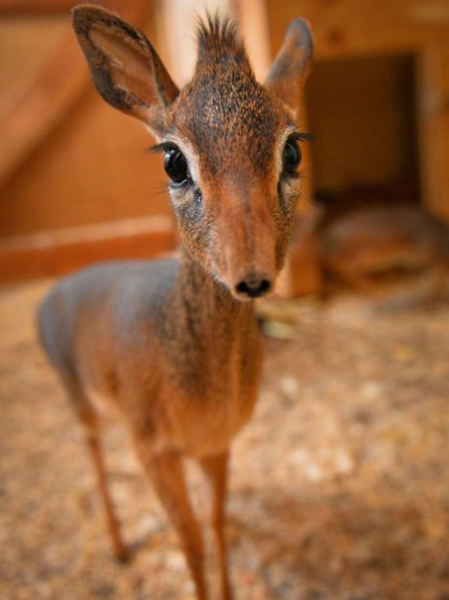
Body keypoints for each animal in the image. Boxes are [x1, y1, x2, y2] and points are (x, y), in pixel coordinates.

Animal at [37, 5, 312, 600]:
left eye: (292, 148)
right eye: (172, 160)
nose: (252, 275)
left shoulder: (216, 444)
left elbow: (216, 525)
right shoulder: (155, 449)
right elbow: (188, 541)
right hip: (82, 402)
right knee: (92, 456)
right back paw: (118, 547)